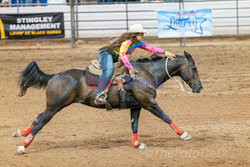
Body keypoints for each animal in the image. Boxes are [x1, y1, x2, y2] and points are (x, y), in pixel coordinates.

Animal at [12, 51, 203, 154]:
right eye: (193, 68)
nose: (199, 87)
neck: (146, 73)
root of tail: (55, 76)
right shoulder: (149, 103)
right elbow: (165, 117)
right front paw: (184, 134)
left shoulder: (137, 106)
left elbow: (134, 125)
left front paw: (137, 144)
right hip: (54, 107)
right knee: (40, 123)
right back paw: (23, 146)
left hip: (52, 106)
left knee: (38, 117)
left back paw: (20, 132)